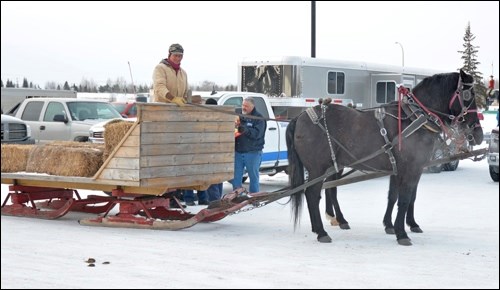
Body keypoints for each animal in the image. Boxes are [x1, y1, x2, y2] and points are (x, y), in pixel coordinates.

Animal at [288, 69, 482, 245]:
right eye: (468, 95)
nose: (477, 133)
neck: (413, 119)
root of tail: (300, 116)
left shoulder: (401, 168)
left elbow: (396, 196)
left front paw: (394, 225)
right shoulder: (412, 168)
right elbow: (405, 199)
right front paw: (402, 233)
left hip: (331, 166)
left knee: (327, 191)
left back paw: (330, 223)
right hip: (317, 168)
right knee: (313, 194)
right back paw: (322, 232)